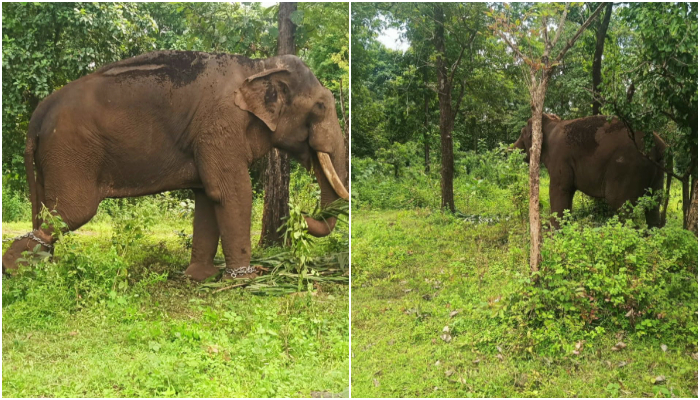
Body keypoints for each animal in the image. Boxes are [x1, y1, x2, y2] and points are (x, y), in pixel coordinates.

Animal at [0, 50, 350, 282]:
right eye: (320, 106)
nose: (300, 215)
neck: (258, 65)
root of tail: (39, 111)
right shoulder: (220, 126)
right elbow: (232, 192)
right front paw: (246, 279)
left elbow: (208, 196)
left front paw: (199, 277)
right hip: (71, 150)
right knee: (72, 212)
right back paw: (18, 271)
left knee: (48, 213)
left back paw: (43, 267)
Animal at [516, 114, 668, 230]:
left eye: (522, 134)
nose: (512, 148)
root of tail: (659, 145)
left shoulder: (559, 158)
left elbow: (560, 189)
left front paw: (553, 233)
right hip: (658, 171)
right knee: (654, 206)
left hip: (629, 168)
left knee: (621, 206)